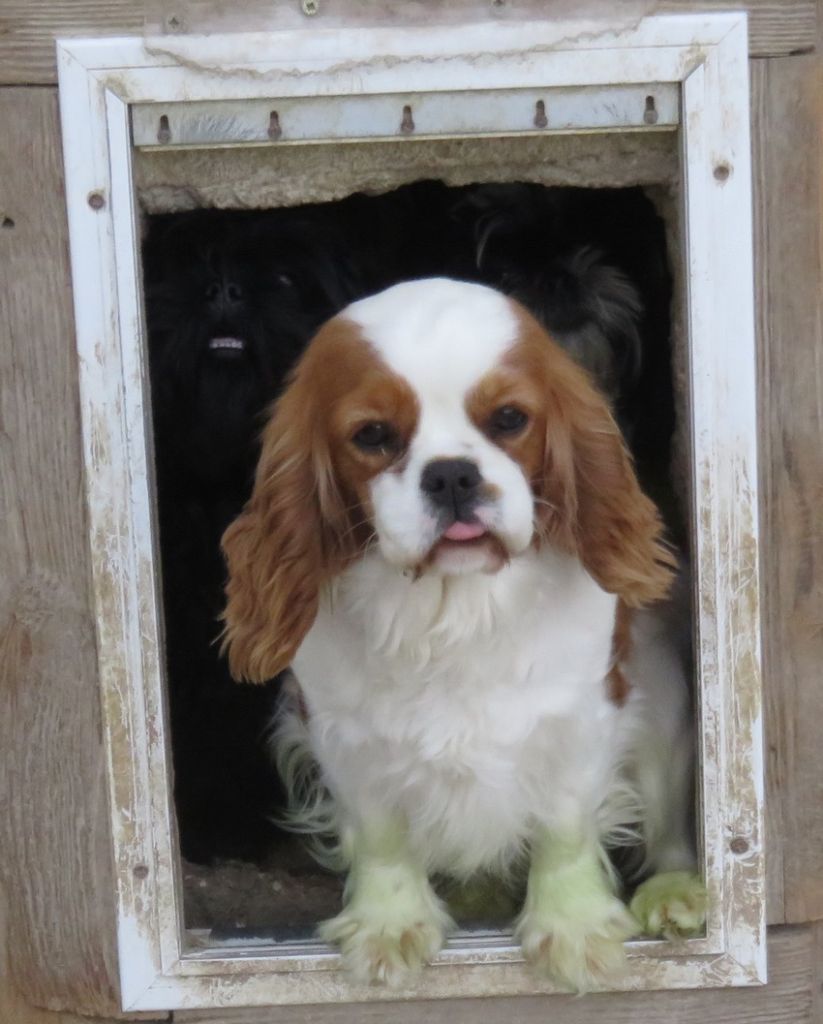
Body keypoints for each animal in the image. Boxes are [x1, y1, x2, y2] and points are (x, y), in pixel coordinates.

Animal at [220, 276, 708, 987]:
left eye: (508, 419)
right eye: (373, 434)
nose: (451, 474)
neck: (452, 608)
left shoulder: (580, 719)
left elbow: (564, 830)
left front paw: (574, 926)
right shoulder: (343, 735)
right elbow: (381, 835)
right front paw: (389, 925)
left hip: (664, 699)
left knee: (667, 819)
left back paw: (672, 890)